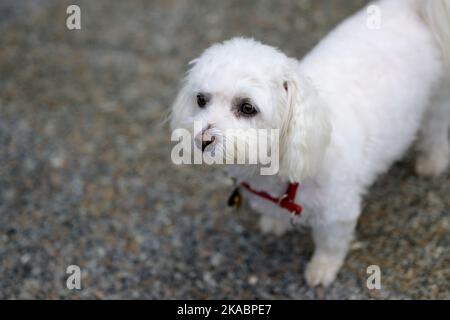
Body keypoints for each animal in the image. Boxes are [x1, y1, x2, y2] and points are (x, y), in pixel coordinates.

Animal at [170, 0, 450, 288]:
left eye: (247, 107)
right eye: (201, 100)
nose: (202, 140)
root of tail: (412, 9)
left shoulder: (338, 211)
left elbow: (330, 244)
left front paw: (322, 269)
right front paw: (275, 223)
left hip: (437, 99)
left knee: (437, 130)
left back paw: (431, 163)